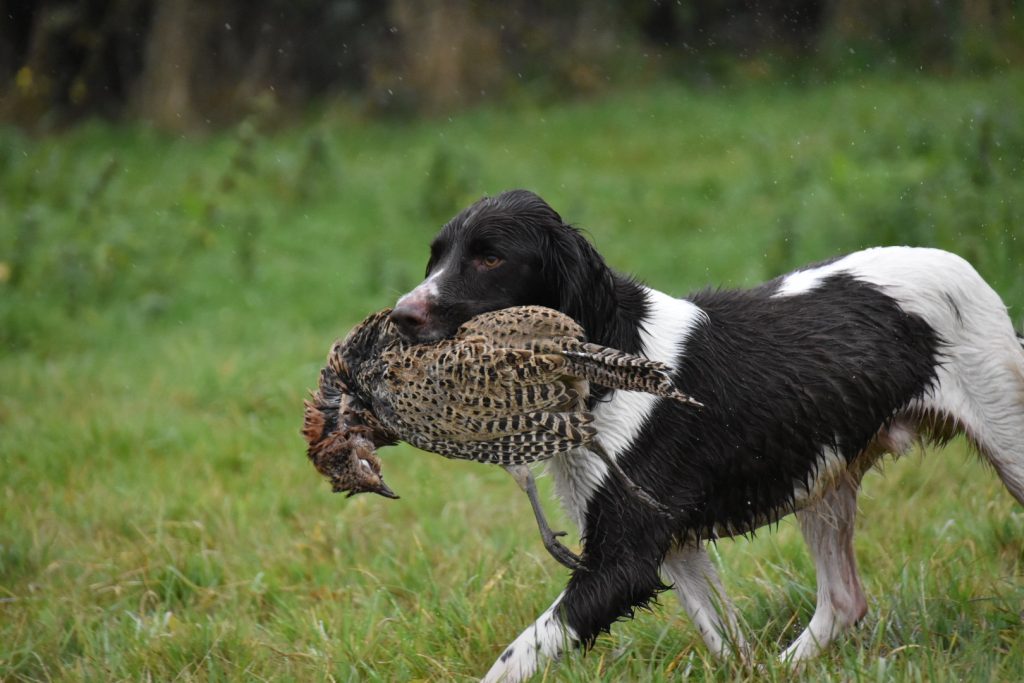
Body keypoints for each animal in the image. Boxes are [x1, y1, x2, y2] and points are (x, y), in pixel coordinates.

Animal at [387, 189, 1019, 679]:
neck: (612, 356)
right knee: (843, 600)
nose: (400, 317)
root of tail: (963, 264)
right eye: (435, 257)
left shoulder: (625, 560)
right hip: (823, 473)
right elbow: (727, 643)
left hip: (1004, 437)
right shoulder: (676, 544)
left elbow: (517, 655)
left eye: (491, 258)